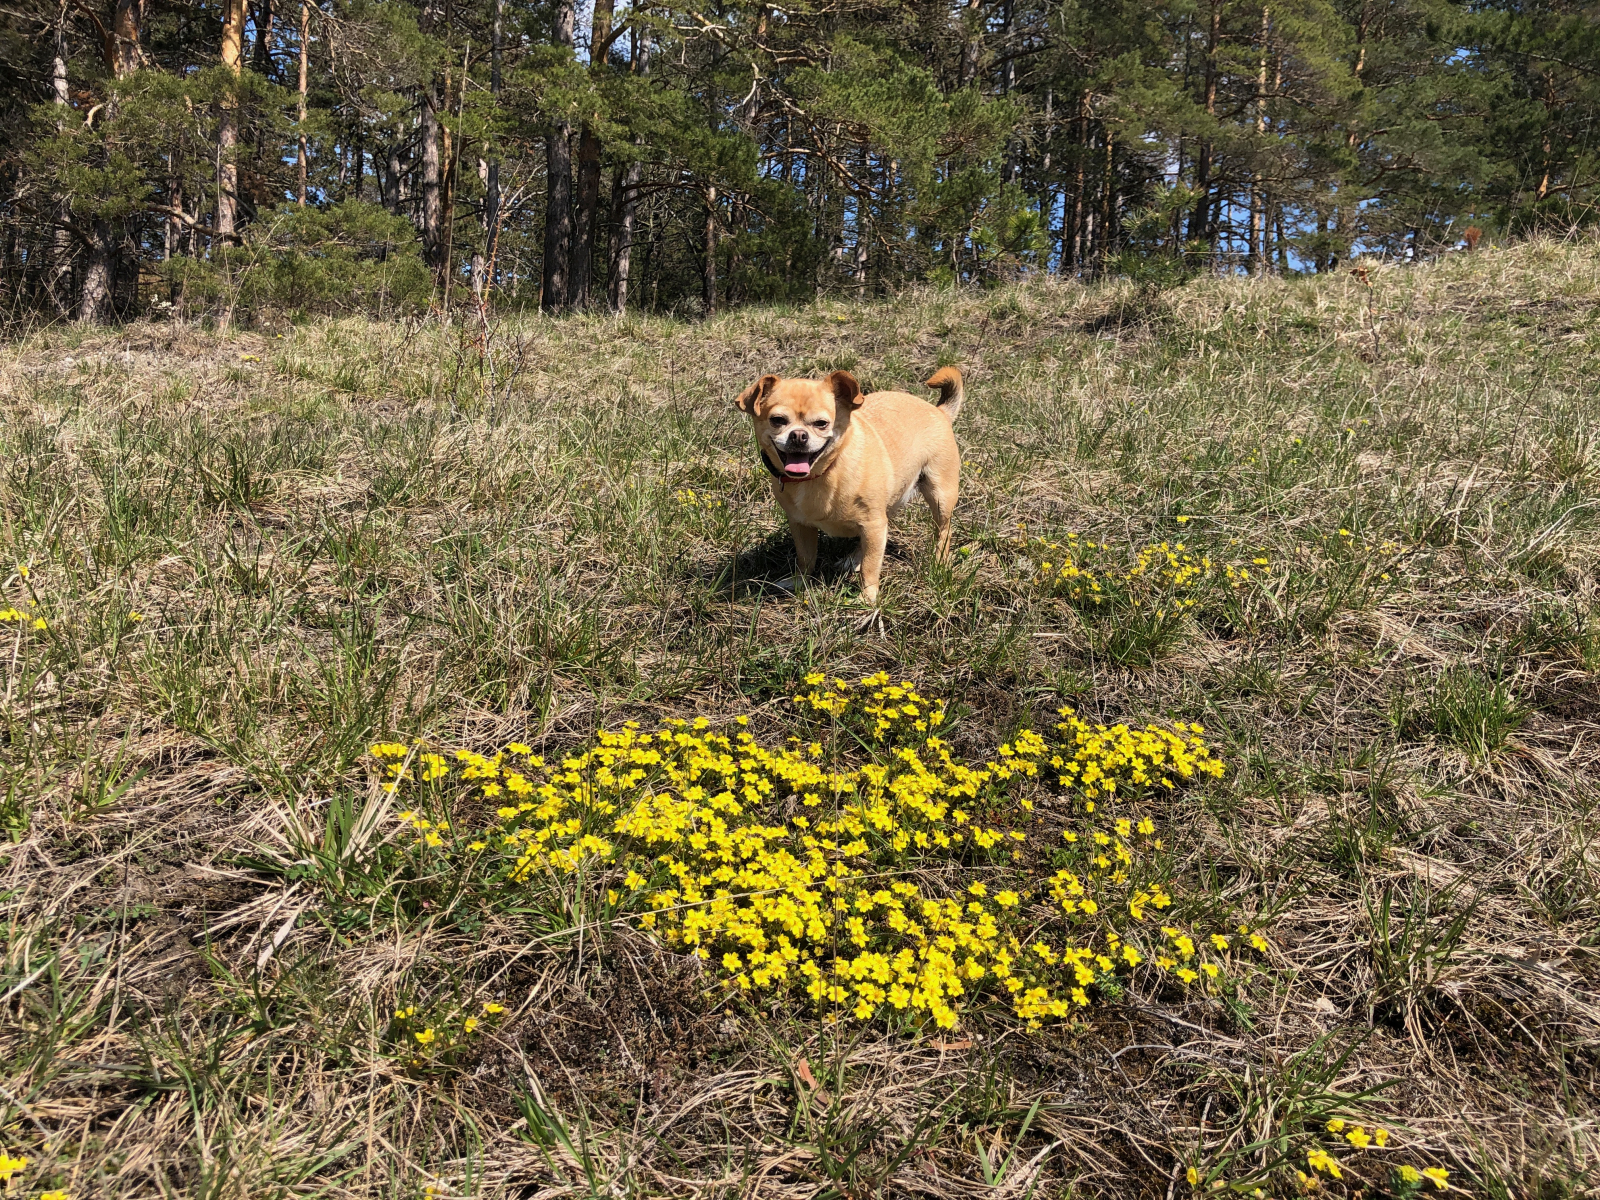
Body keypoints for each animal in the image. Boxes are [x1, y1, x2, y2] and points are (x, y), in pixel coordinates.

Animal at [734, 366, 965, 605]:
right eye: (777, 420)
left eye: (821, 423)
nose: (798, 435)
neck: (822, 473)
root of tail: (939, 411)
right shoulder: (800, 524)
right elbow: (806, 557)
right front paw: (799, 581)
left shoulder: (873, 524)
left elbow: (871, 566)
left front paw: (868, 597)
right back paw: (853, 559)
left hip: (939, 496)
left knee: (943, 531)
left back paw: (939, 562)